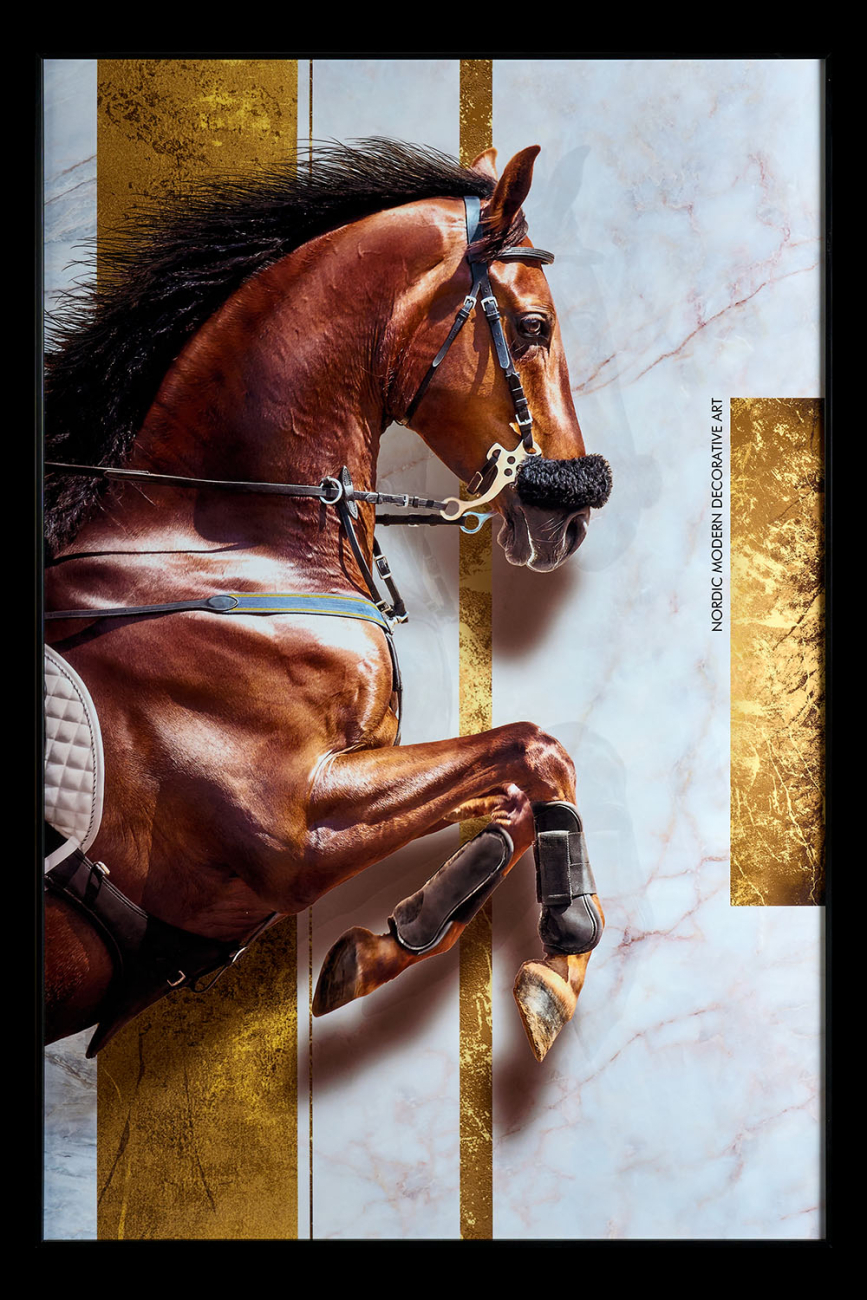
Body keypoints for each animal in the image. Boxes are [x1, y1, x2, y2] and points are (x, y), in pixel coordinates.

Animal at [43, 139, 612, 1064]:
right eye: (532, 327)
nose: (569, 516)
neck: (215, 555)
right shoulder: (296, 830)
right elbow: (535, 750)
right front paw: (557, 959)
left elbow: (512, 789)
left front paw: (396, 938)